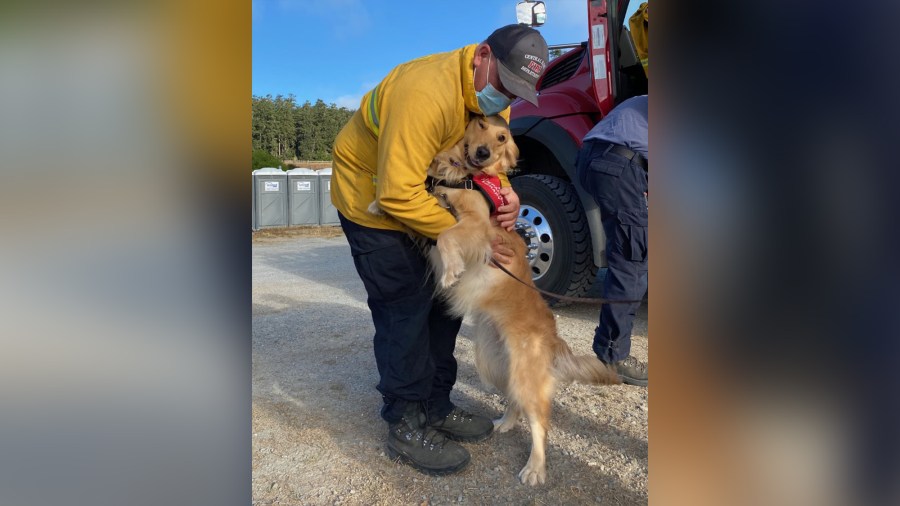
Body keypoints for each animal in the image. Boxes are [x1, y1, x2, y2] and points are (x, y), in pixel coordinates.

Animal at [432, 145, 624, 486]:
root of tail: (554, 340)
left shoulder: (477, 224)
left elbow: (446, 236)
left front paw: (451, 270)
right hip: (497, 364)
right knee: (516, 402)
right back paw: (505, 422)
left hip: (524, 374)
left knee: (539, 423)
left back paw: (535, 466)